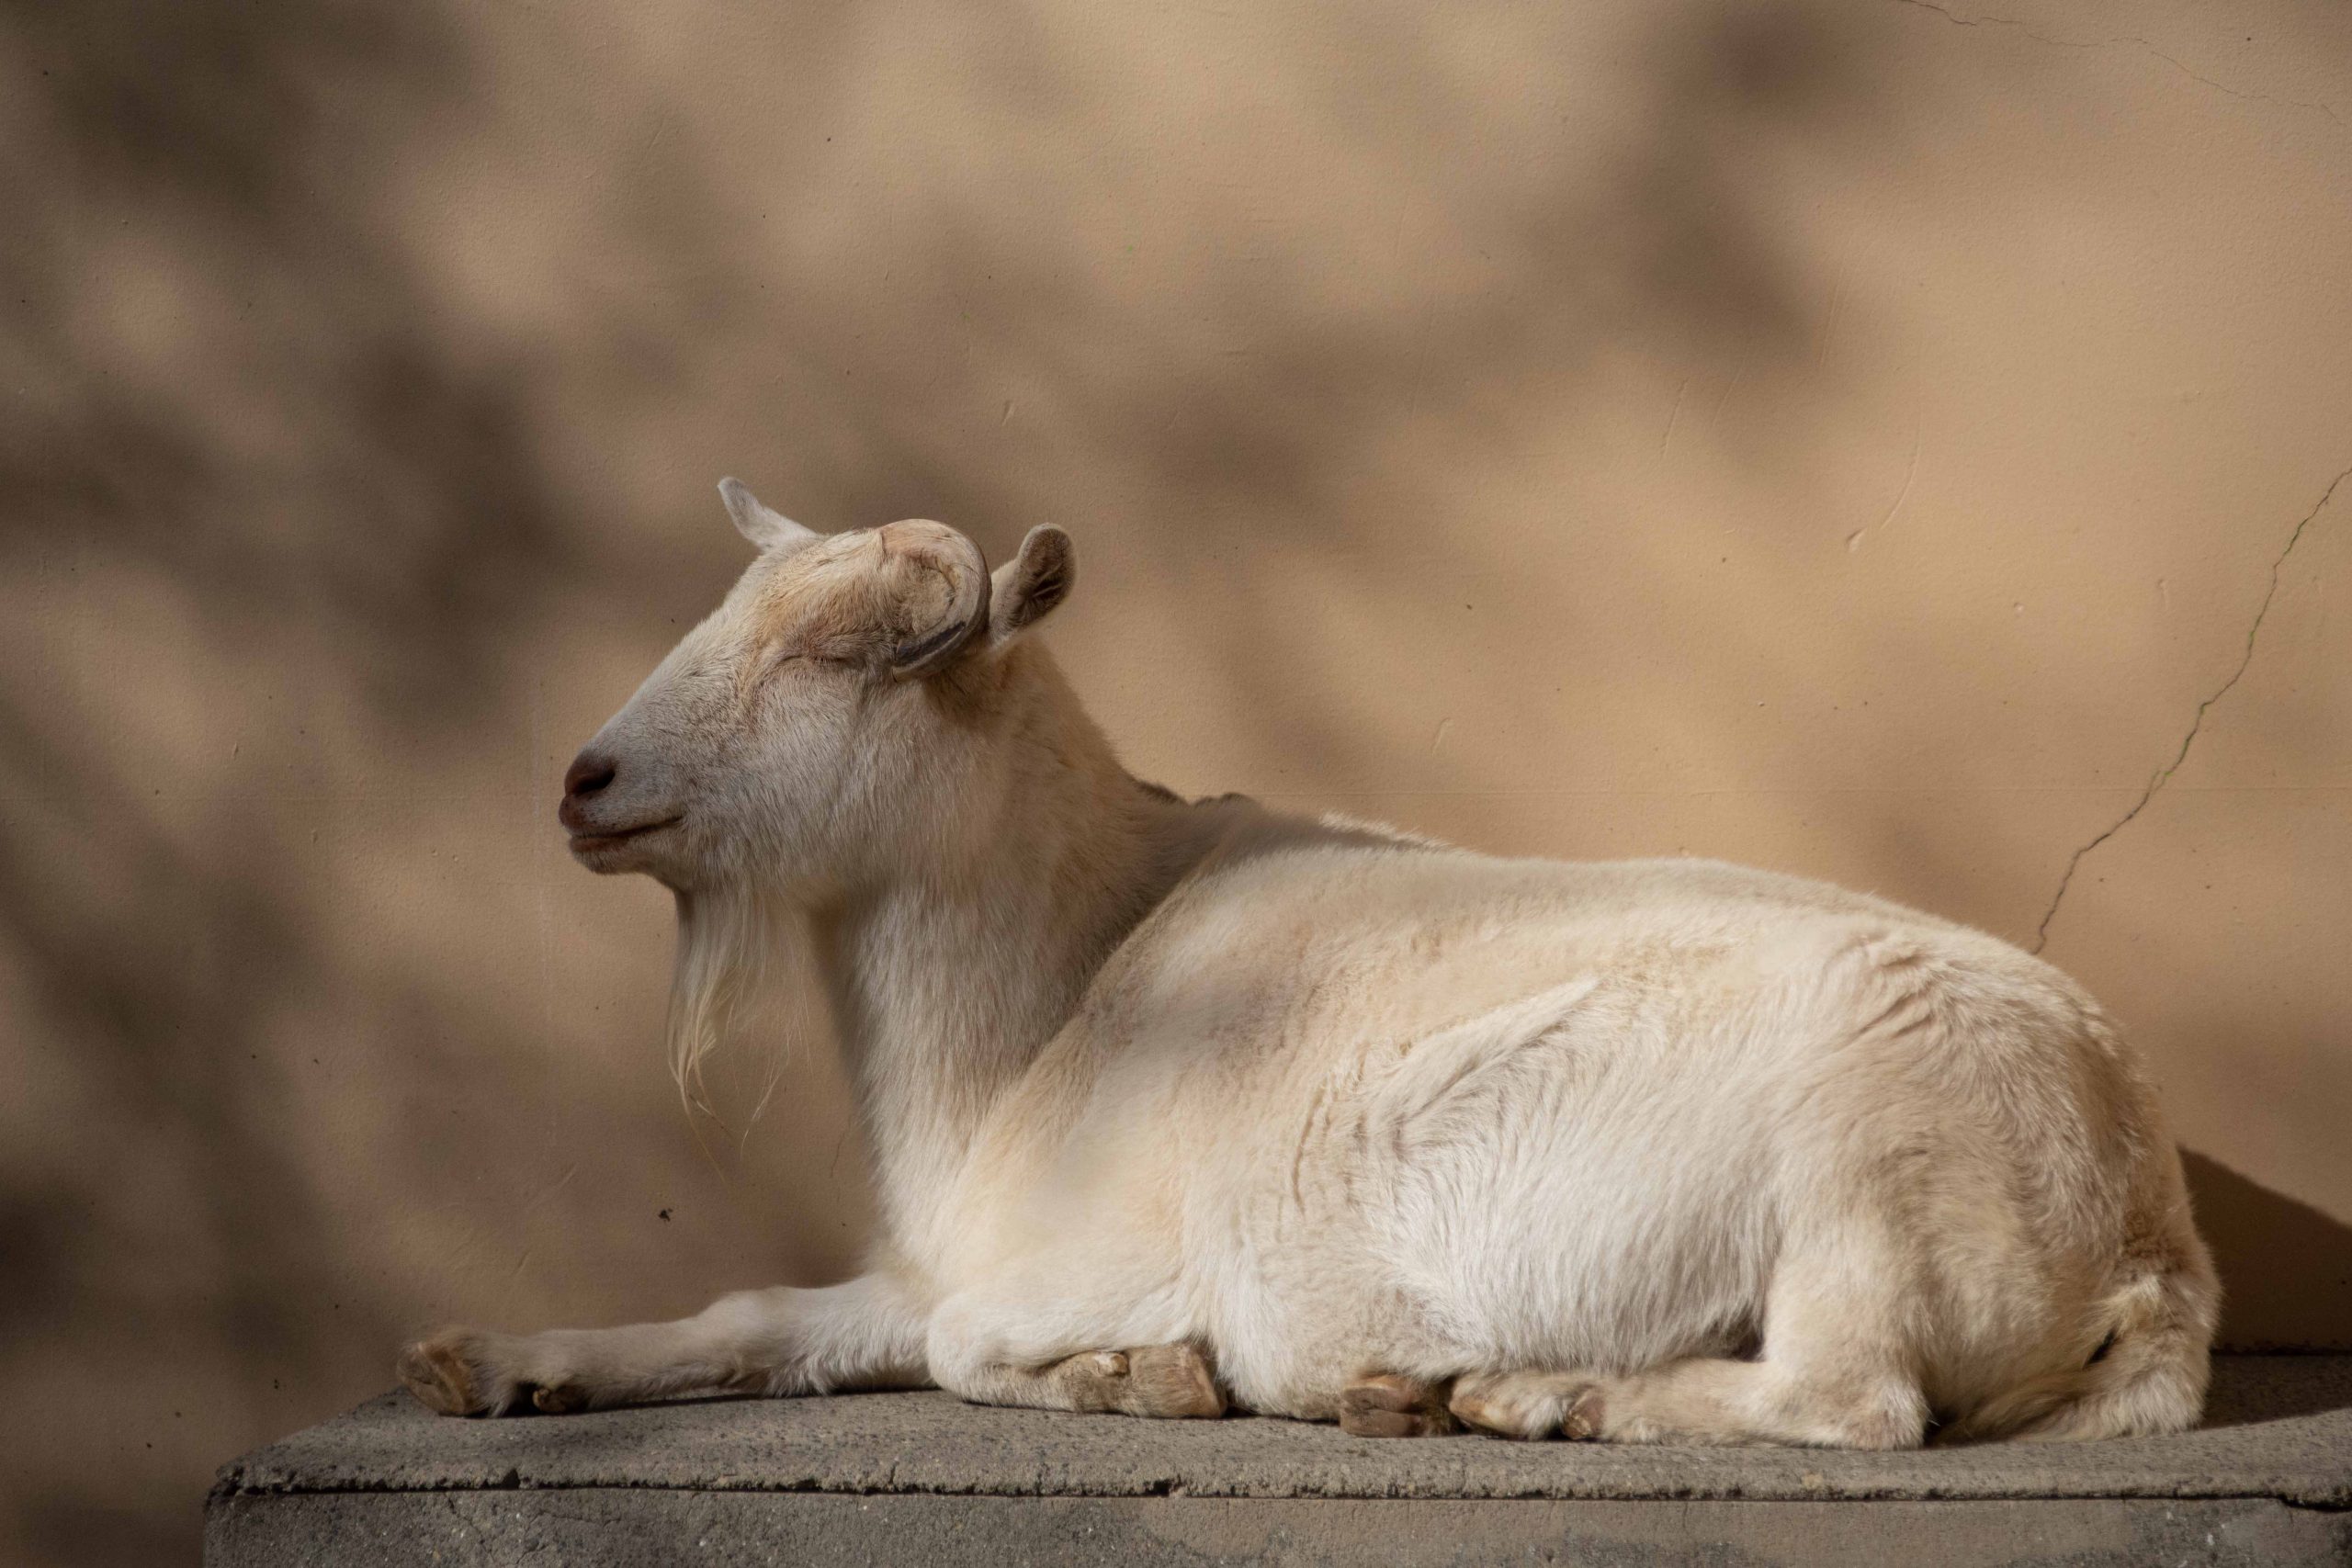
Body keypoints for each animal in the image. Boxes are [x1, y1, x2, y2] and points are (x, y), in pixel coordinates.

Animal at [404, 486, 2220, 1448]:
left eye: (847, 655)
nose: (584, 781)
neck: (1066, 988)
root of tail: (2151, 1222)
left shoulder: (1106, 1253)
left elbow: (975, 1345)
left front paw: (1146, 1377)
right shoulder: (937, 1261)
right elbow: (771, 1309)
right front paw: (489, 1361)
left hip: (1862, 1192)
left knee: (1857, 1398)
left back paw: (1540, 1393)